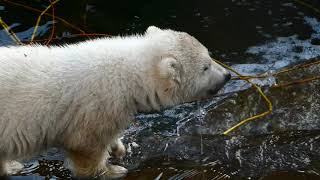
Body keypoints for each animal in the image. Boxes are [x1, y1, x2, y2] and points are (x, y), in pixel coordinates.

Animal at [0, 26, 230, 178]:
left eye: (209, 56)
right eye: (205, 67)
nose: (227, 75)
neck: (125, 73)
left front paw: (118, 148)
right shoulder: (94, 106)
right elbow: (85, 147)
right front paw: (113, 171)